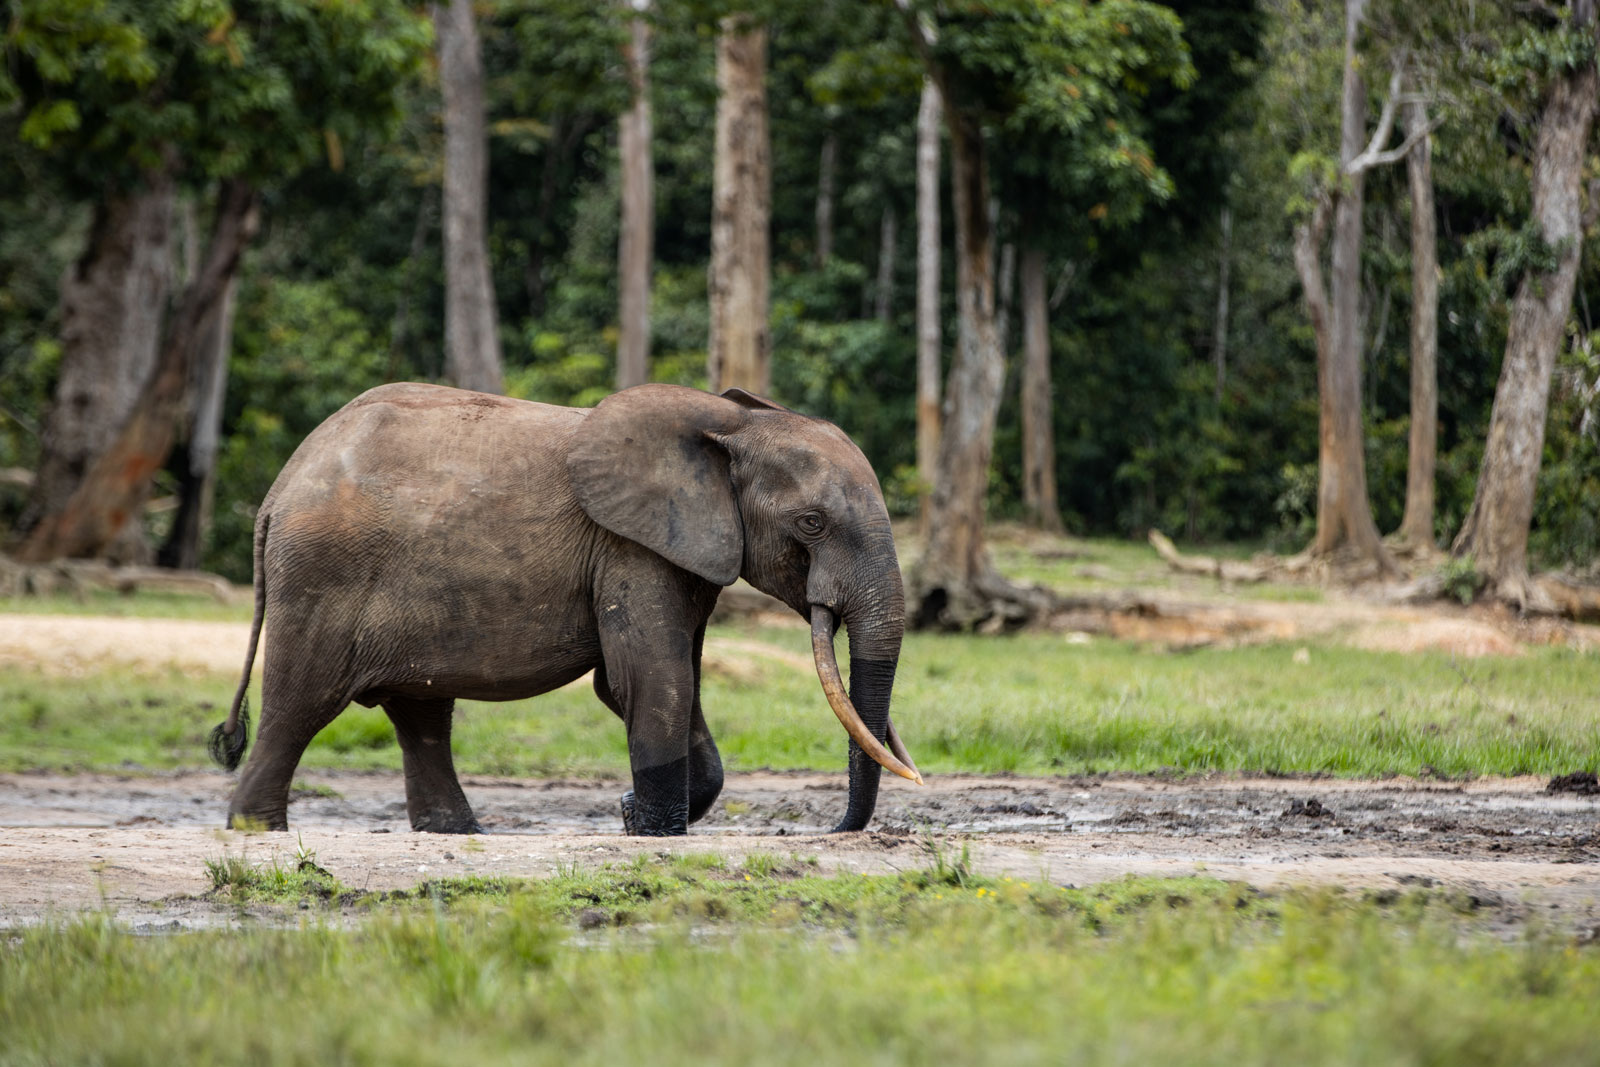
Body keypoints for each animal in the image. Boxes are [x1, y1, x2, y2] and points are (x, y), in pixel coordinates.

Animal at [206, 379, 921, 838]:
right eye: (812, 523)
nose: (828, 830)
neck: (731, 423)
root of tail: (276, 492)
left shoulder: (684, 551)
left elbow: (667, 679)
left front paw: (633, 814)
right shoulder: (630, 545)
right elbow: (650, 677)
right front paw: (652, 830)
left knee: (422, 714)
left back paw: (458, 833)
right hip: (321, 577)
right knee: (302, 702)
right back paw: (256, 828)